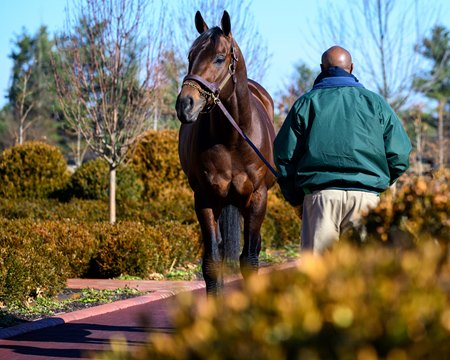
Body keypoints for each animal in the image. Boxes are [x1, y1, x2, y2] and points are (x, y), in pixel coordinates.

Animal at [175, 10, 274, 296]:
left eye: (219, 58)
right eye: (190, 56)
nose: (185, 104)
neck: (232, 139)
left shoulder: (257, 198)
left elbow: (250, 260)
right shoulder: (205, 199)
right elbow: (212, 261)